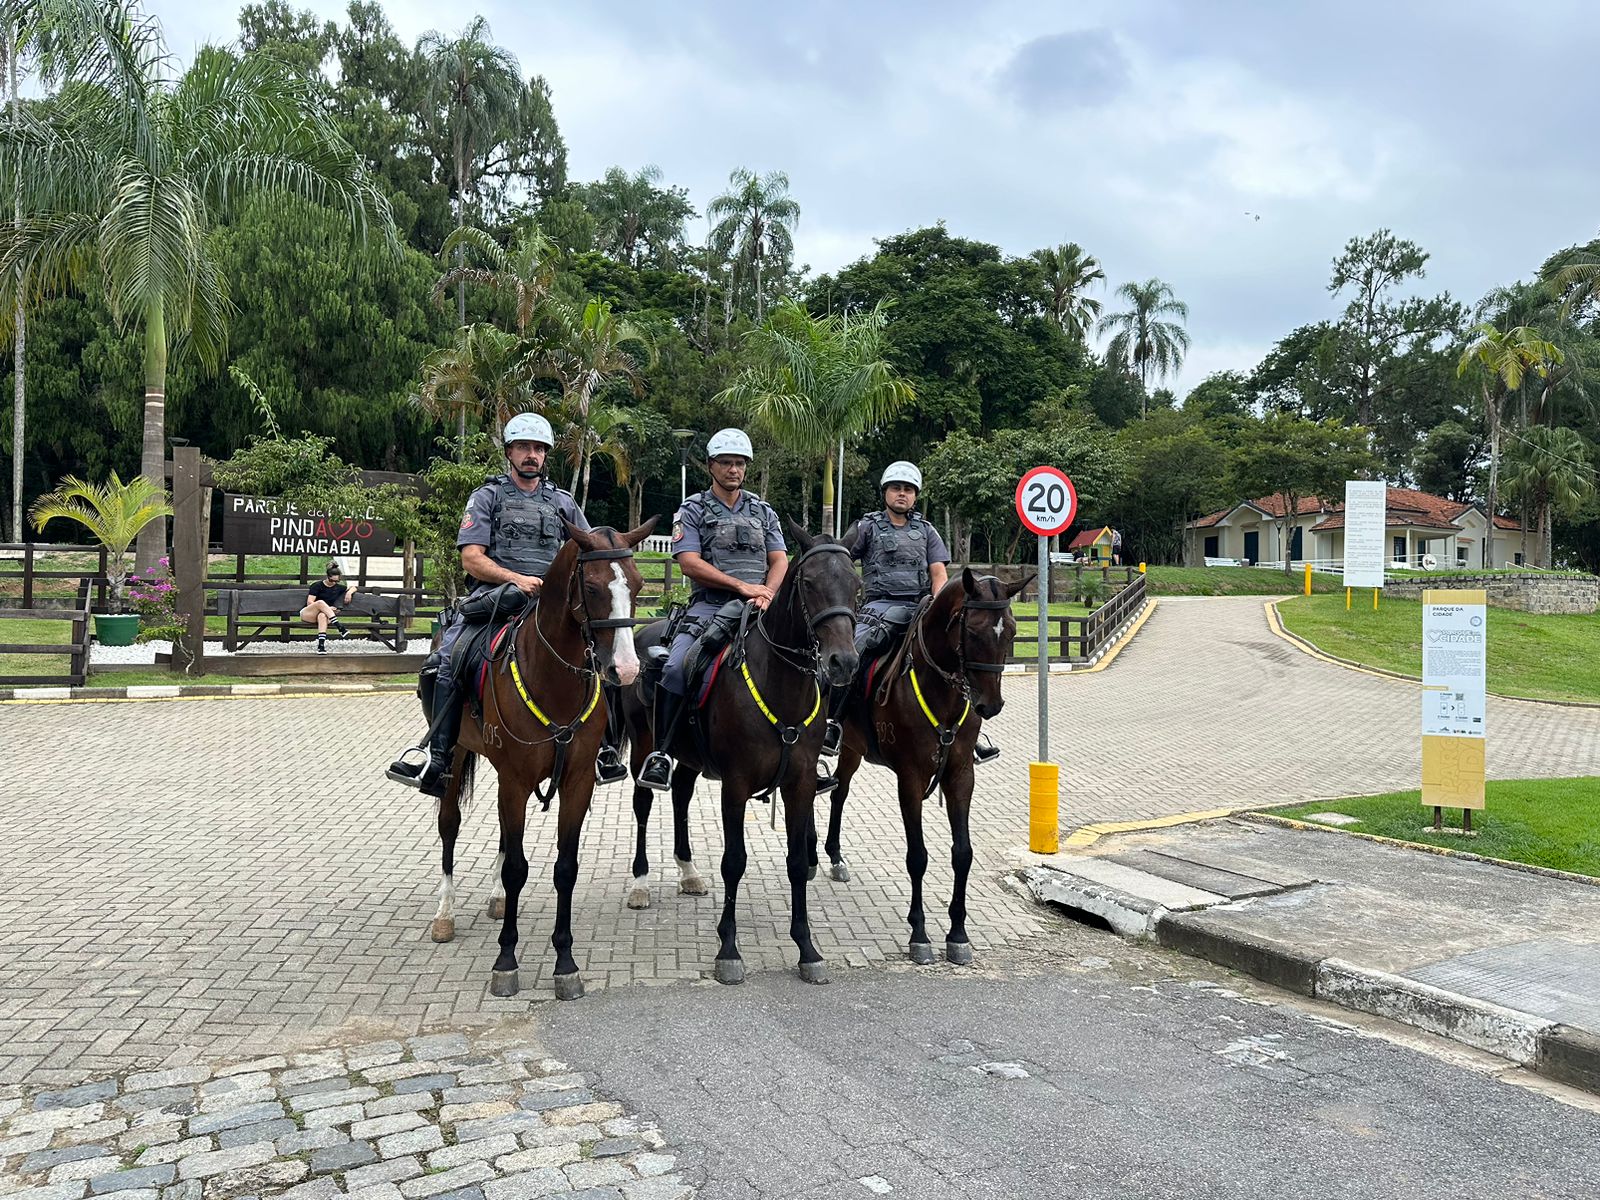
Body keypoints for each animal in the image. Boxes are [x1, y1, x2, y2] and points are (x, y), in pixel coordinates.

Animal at [432, 521, 656, 998]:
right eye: (592, 587)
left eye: (638, 584)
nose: (626, 670)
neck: (553, 680)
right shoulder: (515, 780)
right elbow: (517, 869)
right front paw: (506, 960)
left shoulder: (575, 782)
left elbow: (565, 868)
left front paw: (566, 963)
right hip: (457, 757)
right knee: (449, 825)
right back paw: (445, 913)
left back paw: (497, 900)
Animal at [614, 524, 864, 985]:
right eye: (809, 583)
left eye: (856, 586)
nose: (843, 662)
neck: (779, 685)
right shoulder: (736, 786)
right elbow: (734, 862)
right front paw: (728, 950)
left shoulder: (800, 785)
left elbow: (797, 862)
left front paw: (807, 950)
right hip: (644, 747)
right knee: (643, 803)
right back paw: (640, 884)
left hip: (689, 757)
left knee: (681, 797)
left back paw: (689, 871)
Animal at [812, 569, 1024, 966]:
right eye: (974, 631)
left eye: (1013, 632)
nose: (990, 705)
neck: (940, 690)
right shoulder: (910, 779)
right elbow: (918, 857)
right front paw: (920, 934)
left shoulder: (961, 776)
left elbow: (963, 853)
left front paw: (958, 934)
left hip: (853, 748)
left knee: (839, 793)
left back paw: (834, 855)